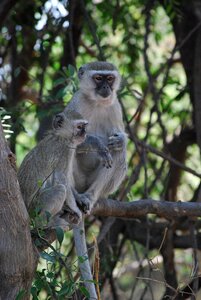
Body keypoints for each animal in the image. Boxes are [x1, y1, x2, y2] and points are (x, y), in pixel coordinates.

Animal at [64, 61, 127, 300]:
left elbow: (118, 140)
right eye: (98, 78)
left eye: (109, 79)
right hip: (77, 178)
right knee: (68, 149)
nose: (106, 88)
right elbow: (68, 134)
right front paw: (97, 144)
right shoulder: (75, 104)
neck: (97, 102)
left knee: (118, 153)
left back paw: (89, 197)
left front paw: (121, 140)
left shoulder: (116, 107)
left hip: (94, 185)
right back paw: (74, 195)